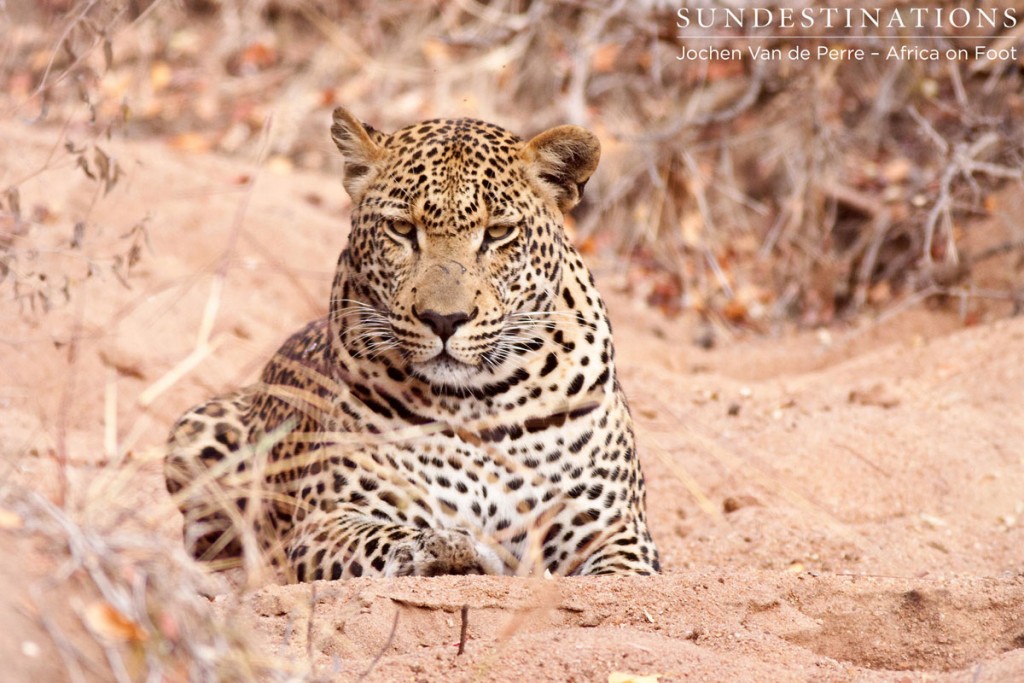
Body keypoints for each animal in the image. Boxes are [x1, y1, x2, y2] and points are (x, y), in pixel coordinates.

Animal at [163, 107, 659, 581]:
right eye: (401, 229)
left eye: (498, 233)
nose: (444, 320)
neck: (477, 402)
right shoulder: (327, 521)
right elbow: (391, 540)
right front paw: (452, 551)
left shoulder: (614, 532)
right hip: (193, 427)